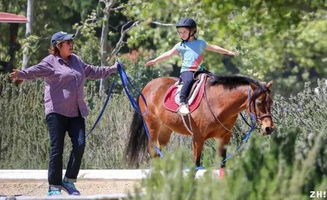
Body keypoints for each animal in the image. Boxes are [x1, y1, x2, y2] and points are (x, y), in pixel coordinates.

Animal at [125, 74, 274, 170]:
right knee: (152, 150)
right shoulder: (198, 138)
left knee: (157, 152)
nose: (269, 128)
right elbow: (196, 164)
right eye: (259, 103)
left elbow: (222, 164)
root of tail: (147, 86)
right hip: (152, 127)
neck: (217, 103)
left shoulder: (224, 137)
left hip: (165, 131)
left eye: (271, 102)